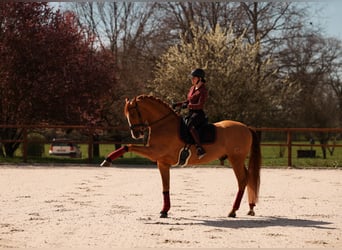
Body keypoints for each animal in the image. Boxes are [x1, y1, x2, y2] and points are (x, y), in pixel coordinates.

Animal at [100, 94, 260, 218]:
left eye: (133, 113)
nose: (136, 134)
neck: (163, 124)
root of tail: (246, 127)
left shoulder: (154, 152)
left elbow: (128, 146)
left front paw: (108, 160)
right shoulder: (162, 162)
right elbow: (165, 187)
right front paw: (164, 210)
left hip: (236, 159)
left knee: (242, 180)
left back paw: (233, 210)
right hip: (237, 159)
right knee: (247, 178)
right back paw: (250, 208)